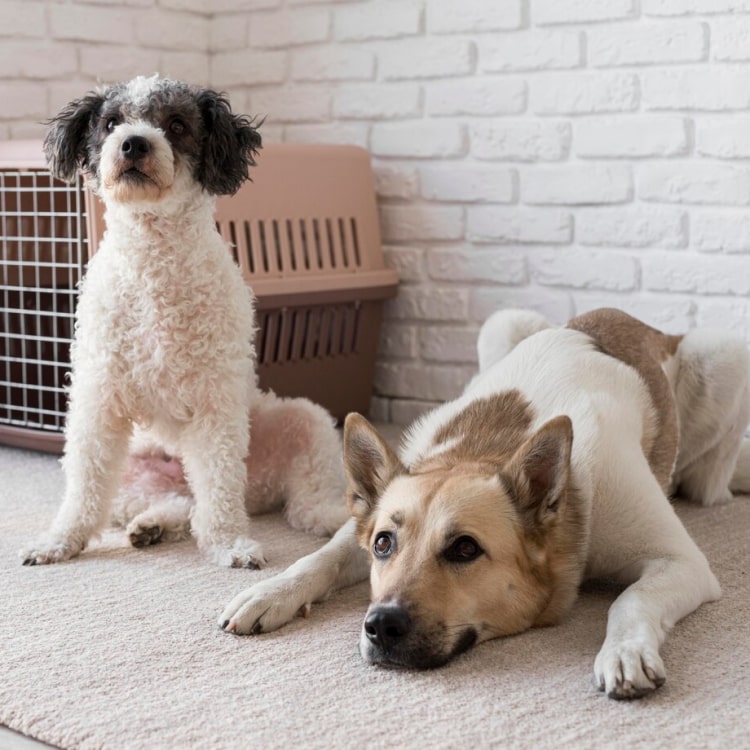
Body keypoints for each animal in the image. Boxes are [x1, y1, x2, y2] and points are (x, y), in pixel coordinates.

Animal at [21, 75, 344, 567]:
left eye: (176, 124)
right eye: (111, 122)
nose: (134, 143)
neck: (154, 266)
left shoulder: (215, 404)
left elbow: (218, 487)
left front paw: (229, 544)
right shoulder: (99, 402)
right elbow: (82, 492)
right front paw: (60, 541)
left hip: (303, 421)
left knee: (290, 503)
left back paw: (335, 519)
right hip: (130, 474)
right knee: (177, 505)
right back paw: (150, 526)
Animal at [219, 307, 750, 699]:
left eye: (465, 549)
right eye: (384, 544)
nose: (380, 625)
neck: (483, 451)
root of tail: (642, 322)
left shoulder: (680, 562)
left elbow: (631, 599)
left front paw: (624, 650)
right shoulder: (361, 529)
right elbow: (320, 557)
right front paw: (270, 593)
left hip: (728, 356)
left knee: (707, 483)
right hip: (502, 323)